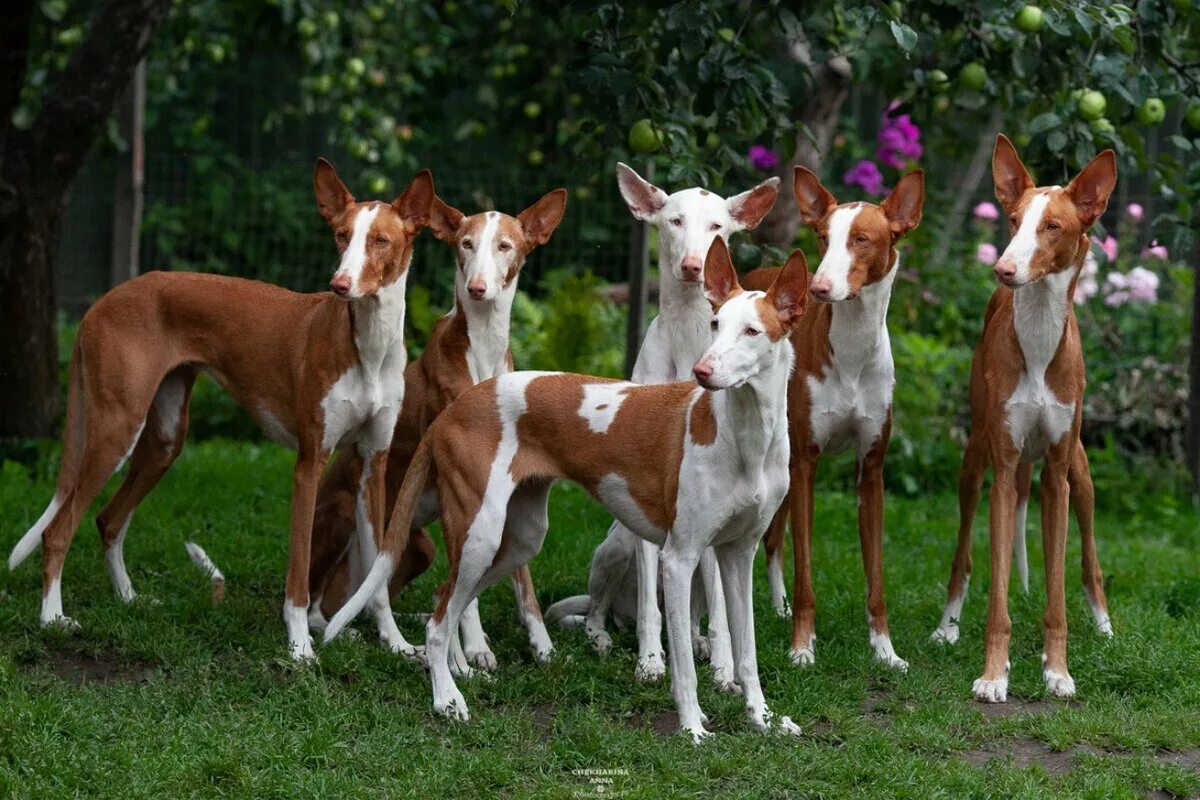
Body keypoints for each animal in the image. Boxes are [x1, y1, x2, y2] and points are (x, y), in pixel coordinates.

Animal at [7, 159, 436, 662]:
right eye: (340, 235)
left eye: (380, 240)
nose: (339, 285)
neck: (367, 346)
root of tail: (101, 302)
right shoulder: (309, 463)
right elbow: (298, 573)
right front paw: (299, 647)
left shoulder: (373, 466)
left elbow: (378, 577)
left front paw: (397, 643)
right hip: (117, 430)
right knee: (58, 529)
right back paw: (52, 619)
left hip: (165, 440)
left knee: (108, 519)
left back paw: (130, 599)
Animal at [300, 185, 566, 671]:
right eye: (466, 244)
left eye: (505, 246)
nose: (478, 288)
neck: (482, 349)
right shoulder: (456, 487)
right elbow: (466, 586)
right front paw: (475, 648)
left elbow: (522, 578)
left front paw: (541, 643)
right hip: (346, 516)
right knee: (318, 603)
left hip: (418, 547)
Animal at [328, 239, 811, 743]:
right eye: (715, 325)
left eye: (752, 331)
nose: (702, 371)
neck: (744, 439)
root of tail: (454, 409)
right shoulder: (680, 558)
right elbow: (683, 665)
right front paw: (693, 727)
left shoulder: (739, 555)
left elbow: (746, 653)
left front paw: (762, 718)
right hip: (481, 533)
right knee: (439, 621)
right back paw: (446, 700)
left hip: (519, 539)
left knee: (446, 597)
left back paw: (459, 671)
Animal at [739, 165, 926, 671]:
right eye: (823, 238)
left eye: (861, 239)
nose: (819, 288)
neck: (853, 351)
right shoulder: (805, 463)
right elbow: (805, 570)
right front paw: (803, 646)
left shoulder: (872, 471)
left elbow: (876, 578)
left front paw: (885, 650)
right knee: (771, 541)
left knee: (773, 541)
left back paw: (778, 607)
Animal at [926, 136, 1113, 700]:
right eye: (1012, 220)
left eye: (1052, 225)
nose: (1004, 270)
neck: (1037, 337)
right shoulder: (1005, 472)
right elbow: (997, 594)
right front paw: (994, 674)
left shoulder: (1056, 476)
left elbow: (1057, 594)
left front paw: (1058, 671)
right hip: (974, 464)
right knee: (965, 555)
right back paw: (947, 627)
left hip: (1081, 473)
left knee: (1090, 558)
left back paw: (1104, 625)